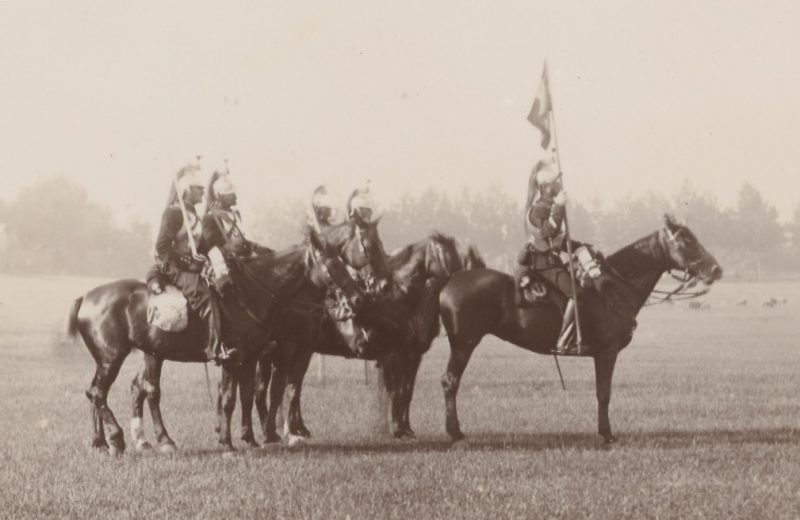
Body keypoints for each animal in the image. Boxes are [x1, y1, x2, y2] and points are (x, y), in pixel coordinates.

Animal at [65, 229, 366, 456]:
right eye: (332, 263)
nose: (356, 295)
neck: (251, 293)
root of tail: (86, 297)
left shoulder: (248, 358)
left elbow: (242, 396)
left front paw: (246, 439)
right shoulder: (242, 358)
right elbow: (235, 398)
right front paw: (231, 443)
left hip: (144, 355)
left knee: (135, 390)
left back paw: (118, 442)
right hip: (111, 358)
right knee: (98, 393)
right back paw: (117, 439)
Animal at [440, 213, 720, 444]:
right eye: (685, 241)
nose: (716, 270)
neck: (612, 288)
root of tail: (452, 278)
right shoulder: (607, 353)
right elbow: (604, 393)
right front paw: (607, 434)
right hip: (464, 345)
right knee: (450, 382)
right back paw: (456, 433)